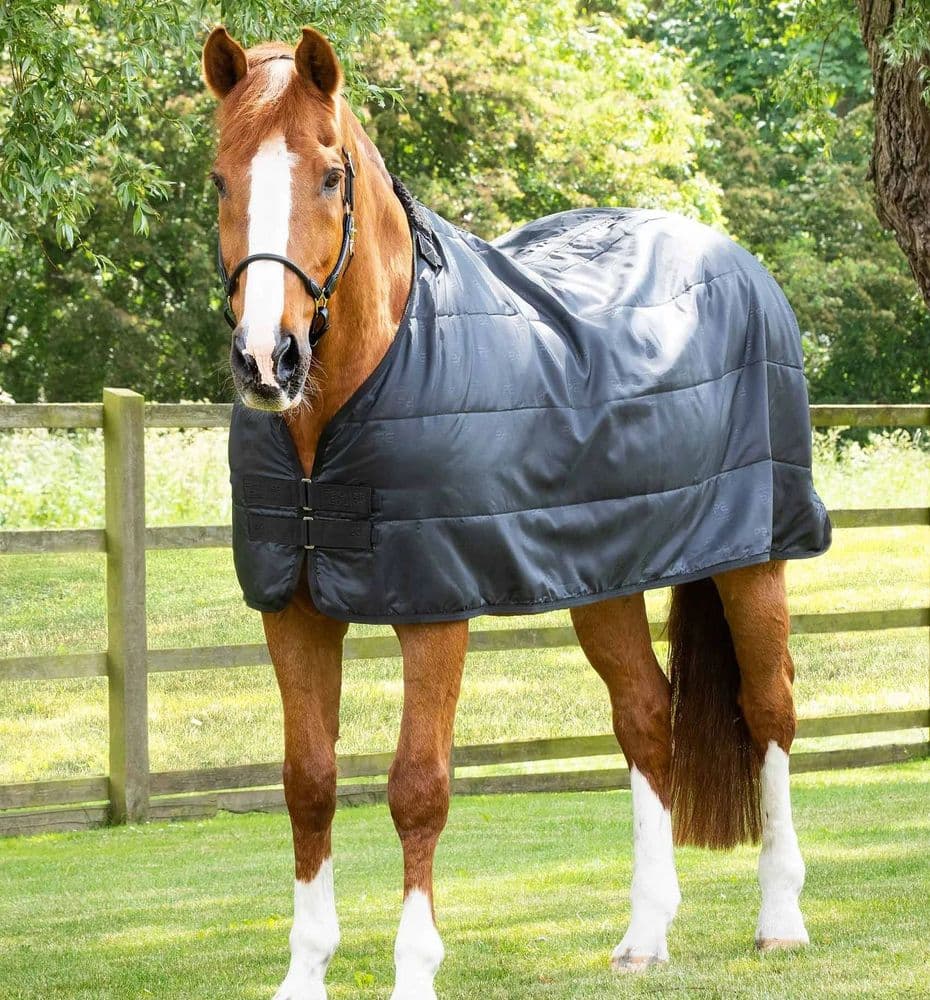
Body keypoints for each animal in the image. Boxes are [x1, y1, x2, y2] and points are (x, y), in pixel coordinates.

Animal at [202, 26, 823, 999]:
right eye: (223, 179)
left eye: (332, 176)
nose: (269, 359)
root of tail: (737, 261)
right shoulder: (292, 609)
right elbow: (308, 783)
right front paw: (304, 974)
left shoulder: (434, 611)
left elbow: (417, 787)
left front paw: (415, 972)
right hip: (604, 576)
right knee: (646, 718)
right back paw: (644, 935)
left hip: (753, 558)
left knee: (769, 710)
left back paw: (780, 921)